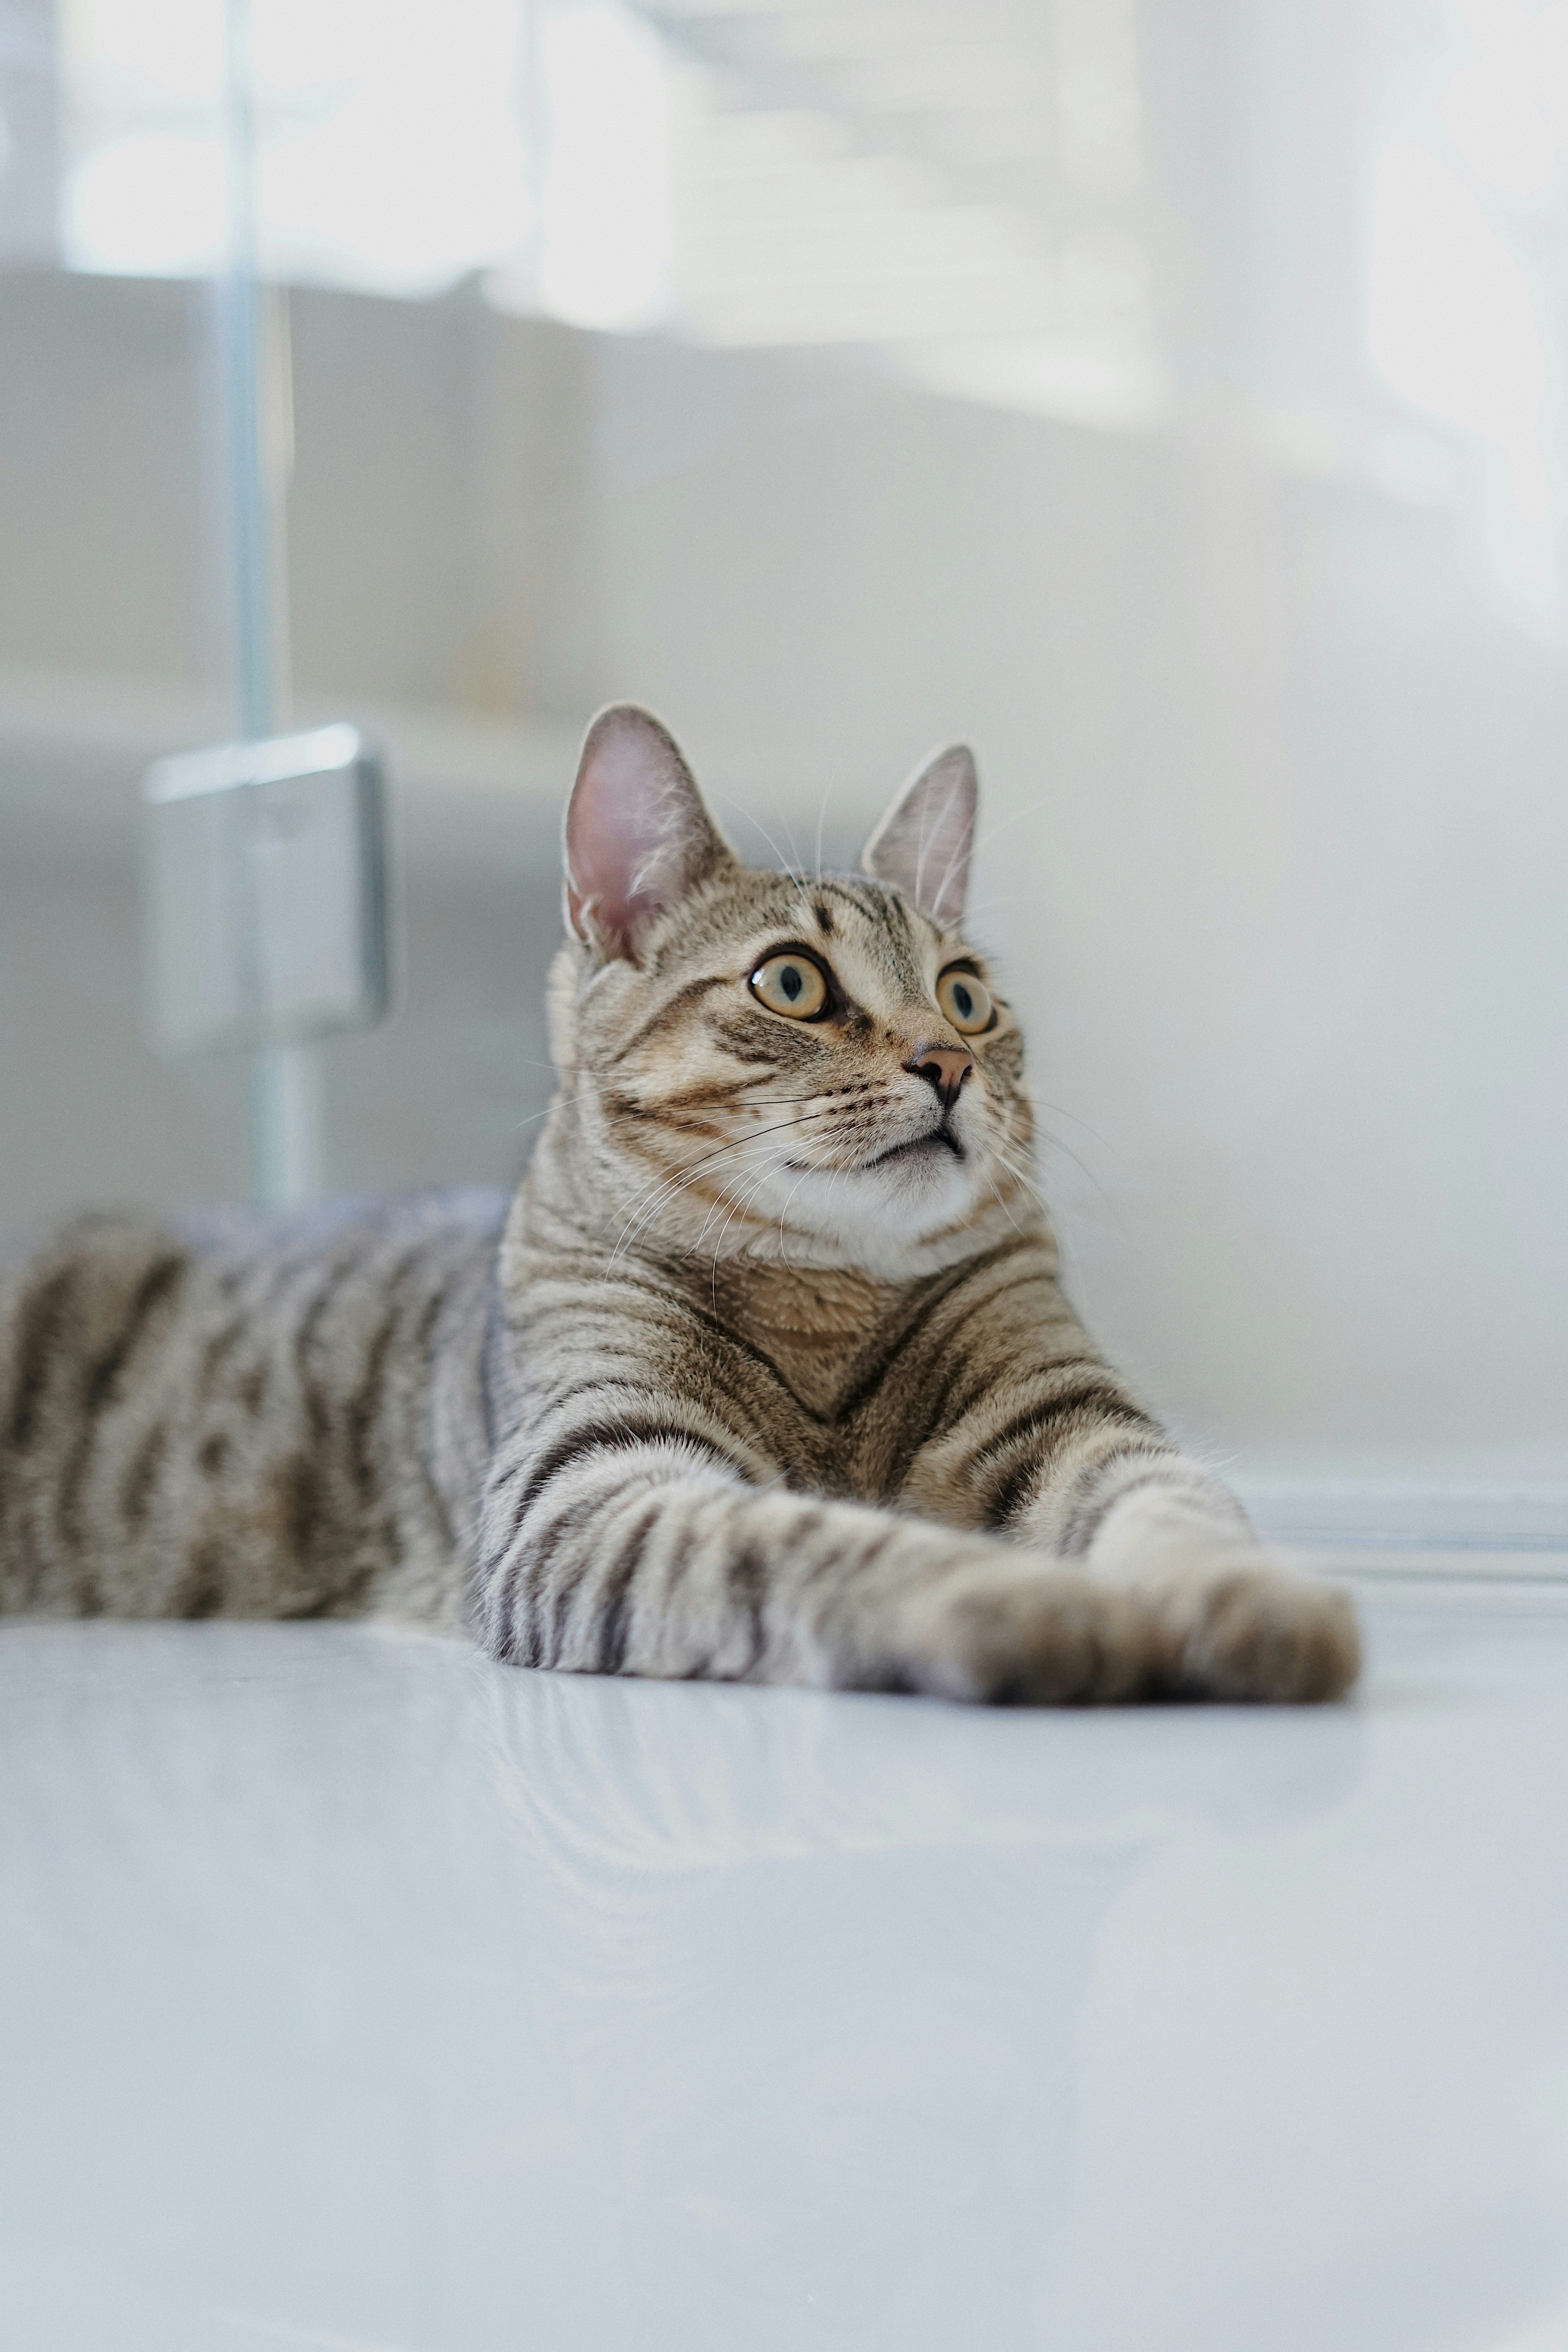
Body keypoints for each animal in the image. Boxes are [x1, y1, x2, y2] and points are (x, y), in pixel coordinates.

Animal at [0, 706, 1363, 1703]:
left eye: (968, 996)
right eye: (793, 982)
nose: (949, 1062)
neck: (825, 1306)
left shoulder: (1072, 1417)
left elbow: (1179, 1506)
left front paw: (1247, 1597)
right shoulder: (591, 1479)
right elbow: (804, 1538)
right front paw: (1020, 1599)